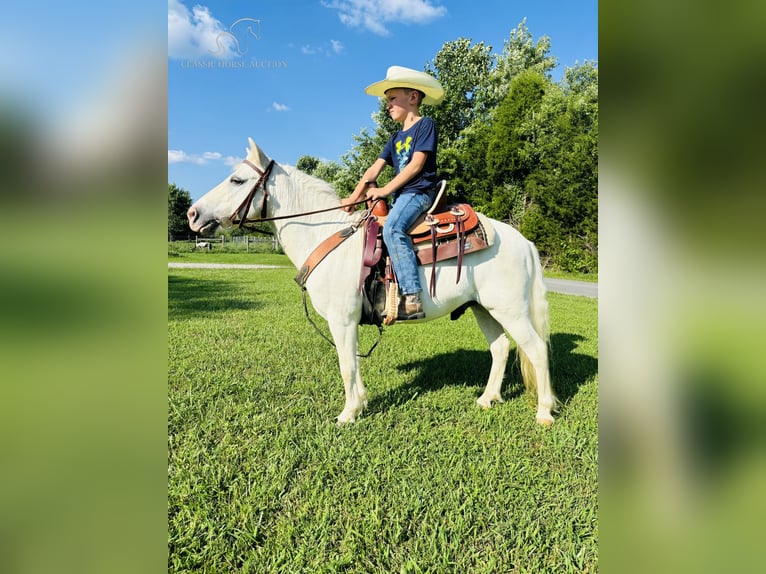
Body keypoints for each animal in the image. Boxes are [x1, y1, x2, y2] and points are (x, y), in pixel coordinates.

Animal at [186, 139, 560, 426]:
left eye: (236, 180)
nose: (192, 214)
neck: (329, 238)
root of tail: (523, 241)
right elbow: (350, 364)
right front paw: (358, 406)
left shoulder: (343, 320)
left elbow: (347, 366)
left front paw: (348, 414)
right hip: (483, 308)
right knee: (501, 348)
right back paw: (487, 398)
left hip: (510, 310)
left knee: (536, 349)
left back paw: (544, 413)